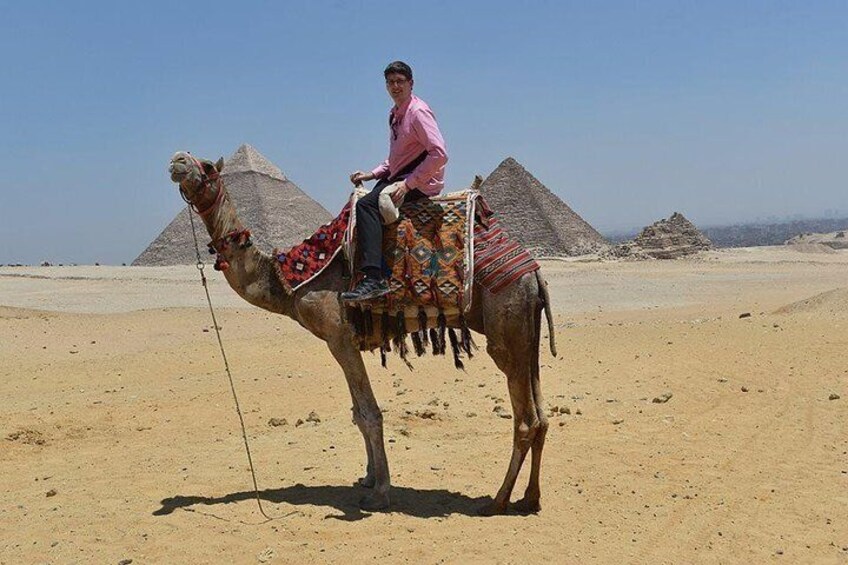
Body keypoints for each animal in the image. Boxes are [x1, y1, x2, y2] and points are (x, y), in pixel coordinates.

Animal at [169, 152, 560, 512]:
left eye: (206, 166)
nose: (177, 160)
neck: (292, 281)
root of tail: (533, 272)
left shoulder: (339, 337)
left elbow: (370, 414)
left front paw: (381, 492)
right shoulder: (343, 343)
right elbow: (357, 414)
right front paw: (369, 477)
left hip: (506, 329)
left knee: (525, 421)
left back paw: (498, 500)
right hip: (528, 334)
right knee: (541, 417)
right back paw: (531, 498)